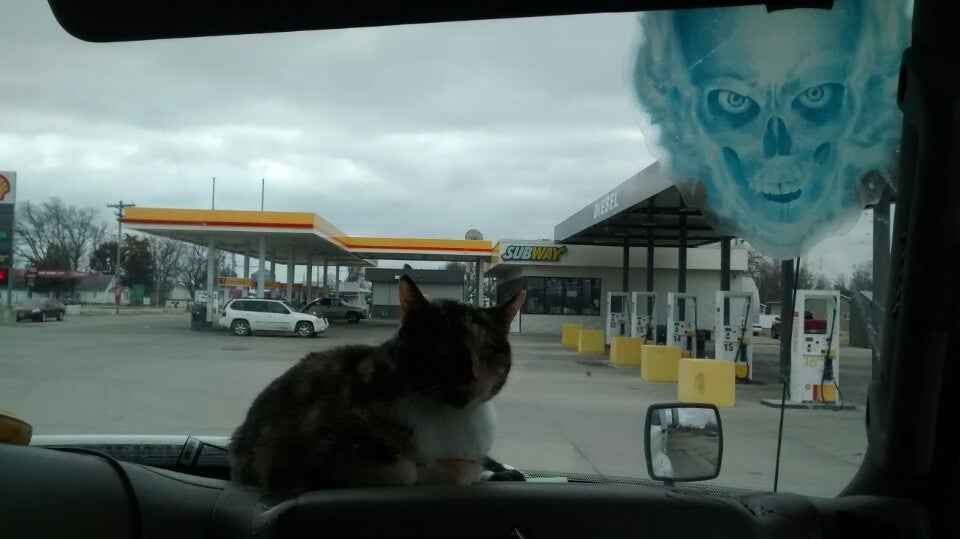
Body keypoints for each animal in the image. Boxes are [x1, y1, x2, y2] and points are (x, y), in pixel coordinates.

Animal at [229, 275, 526, 491]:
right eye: (442, 348)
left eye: (487, 350)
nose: (470, 375)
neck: (449, 418)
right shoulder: (294, 456)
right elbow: (408, 470)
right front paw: (440, 470)